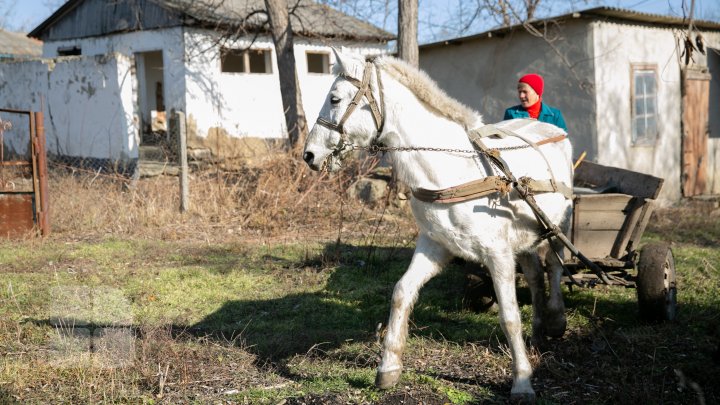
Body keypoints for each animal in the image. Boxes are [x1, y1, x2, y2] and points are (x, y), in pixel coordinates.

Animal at [304, 51, 572, 400]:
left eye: (334, 98)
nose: (309, 154)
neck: (452, 170)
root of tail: (552, 129)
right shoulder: (435, 246)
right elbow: (402, 292)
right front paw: (388, 368)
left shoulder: (498, 254)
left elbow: (510, 316)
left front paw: (522, 381)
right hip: (526, 240)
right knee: (535, 275)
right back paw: (539, 332)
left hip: (559, 224)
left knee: (554, 265)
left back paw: (556, 321)